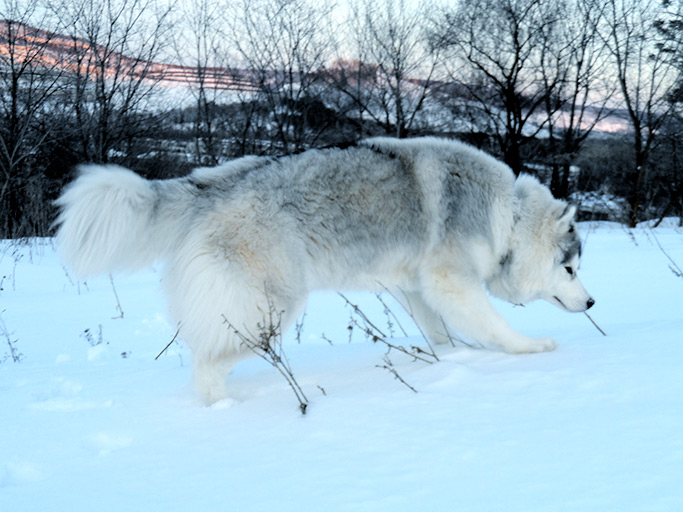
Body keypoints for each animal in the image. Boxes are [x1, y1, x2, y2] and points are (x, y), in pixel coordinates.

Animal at [57, 137, 592, 404]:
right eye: (570, 268)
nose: (592, 302)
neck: (508, 215)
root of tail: (213, 182)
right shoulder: (452, 283)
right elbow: (498, 327)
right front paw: (529, 349)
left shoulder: (419, 290)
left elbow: (443, 335)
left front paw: (453, 359)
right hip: (270, 308)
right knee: (209, 363)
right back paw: (224, 412)